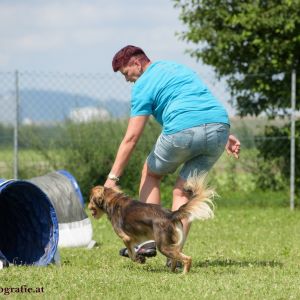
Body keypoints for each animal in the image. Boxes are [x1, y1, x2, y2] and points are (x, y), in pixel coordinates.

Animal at [87, 175, 216, 274]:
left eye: (90, 199)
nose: (88, 207)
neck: (113, 200)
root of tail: (171, 214)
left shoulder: (126, 238)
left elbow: (132, 255)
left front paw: (139, 259)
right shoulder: (134, 239)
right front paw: (140, 257)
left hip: (163, 246)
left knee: (187, 258)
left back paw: (183, 274)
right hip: (172, 245)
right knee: (175, 258)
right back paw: (171, 272)